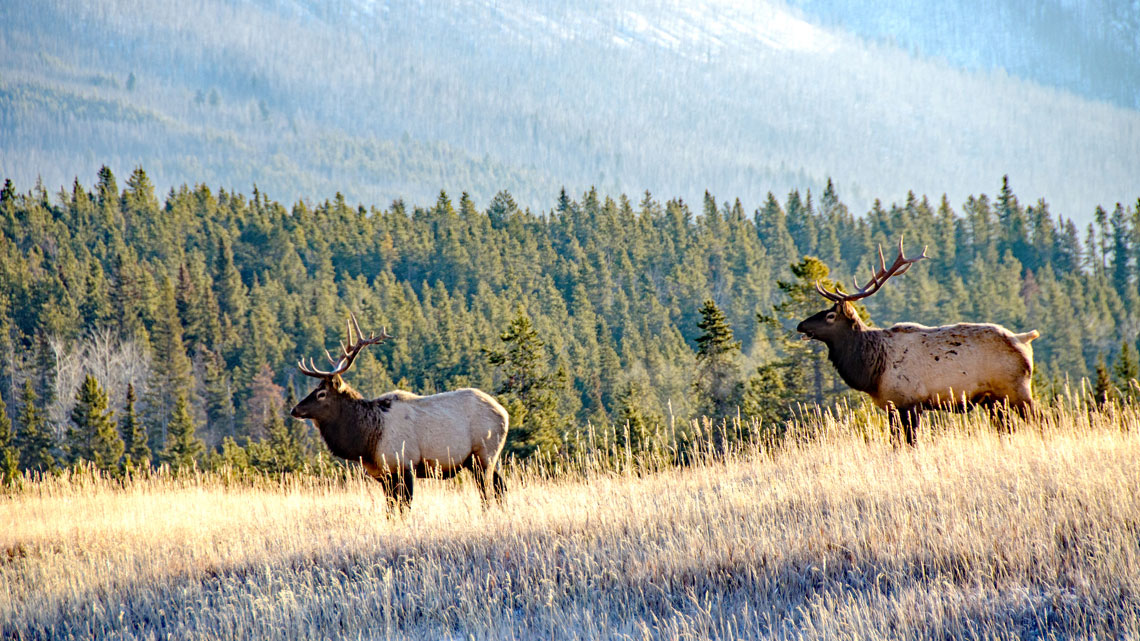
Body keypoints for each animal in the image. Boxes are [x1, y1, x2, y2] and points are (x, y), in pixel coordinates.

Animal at [291, 313, 509, 509]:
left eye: (321, 394)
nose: (294, 409)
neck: (367, 441)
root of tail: (504, 414)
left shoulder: (404, 464)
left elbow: (404, 506)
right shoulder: (383, 474)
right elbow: (390, 509)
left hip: (484, 454)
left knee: (488, 492)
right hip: (486, 460)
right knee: (501, 488)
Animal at [796, 238, 1040, 446]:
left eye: (830, 316)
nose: (800, 325)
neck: (873, 371)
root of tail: (1024, 340)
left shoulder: (910, 402)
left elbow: (909, 442)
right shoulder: (891, 406)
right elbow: (895, 442)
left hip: (1017, 390)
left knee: (1040, 420)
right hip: (993, 400)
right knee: (1006, 428)